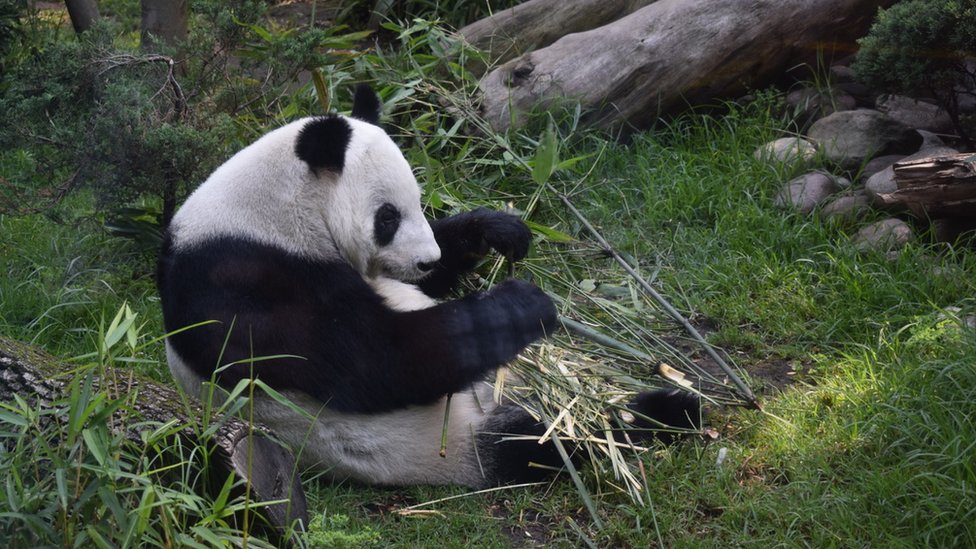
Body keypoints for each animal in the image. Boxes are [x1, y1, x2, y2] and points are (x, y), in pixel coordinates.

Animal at [156, 83, 696, 486]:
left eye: (418, 201)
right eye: (387, 217)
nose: (425, 259)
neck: (270, 212)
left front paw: (499, 231)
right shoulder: (249, 282)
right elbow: (382, 362)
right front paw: (521, 303)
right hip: (445, 442)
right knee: (551, 439)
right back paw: (662, 412)